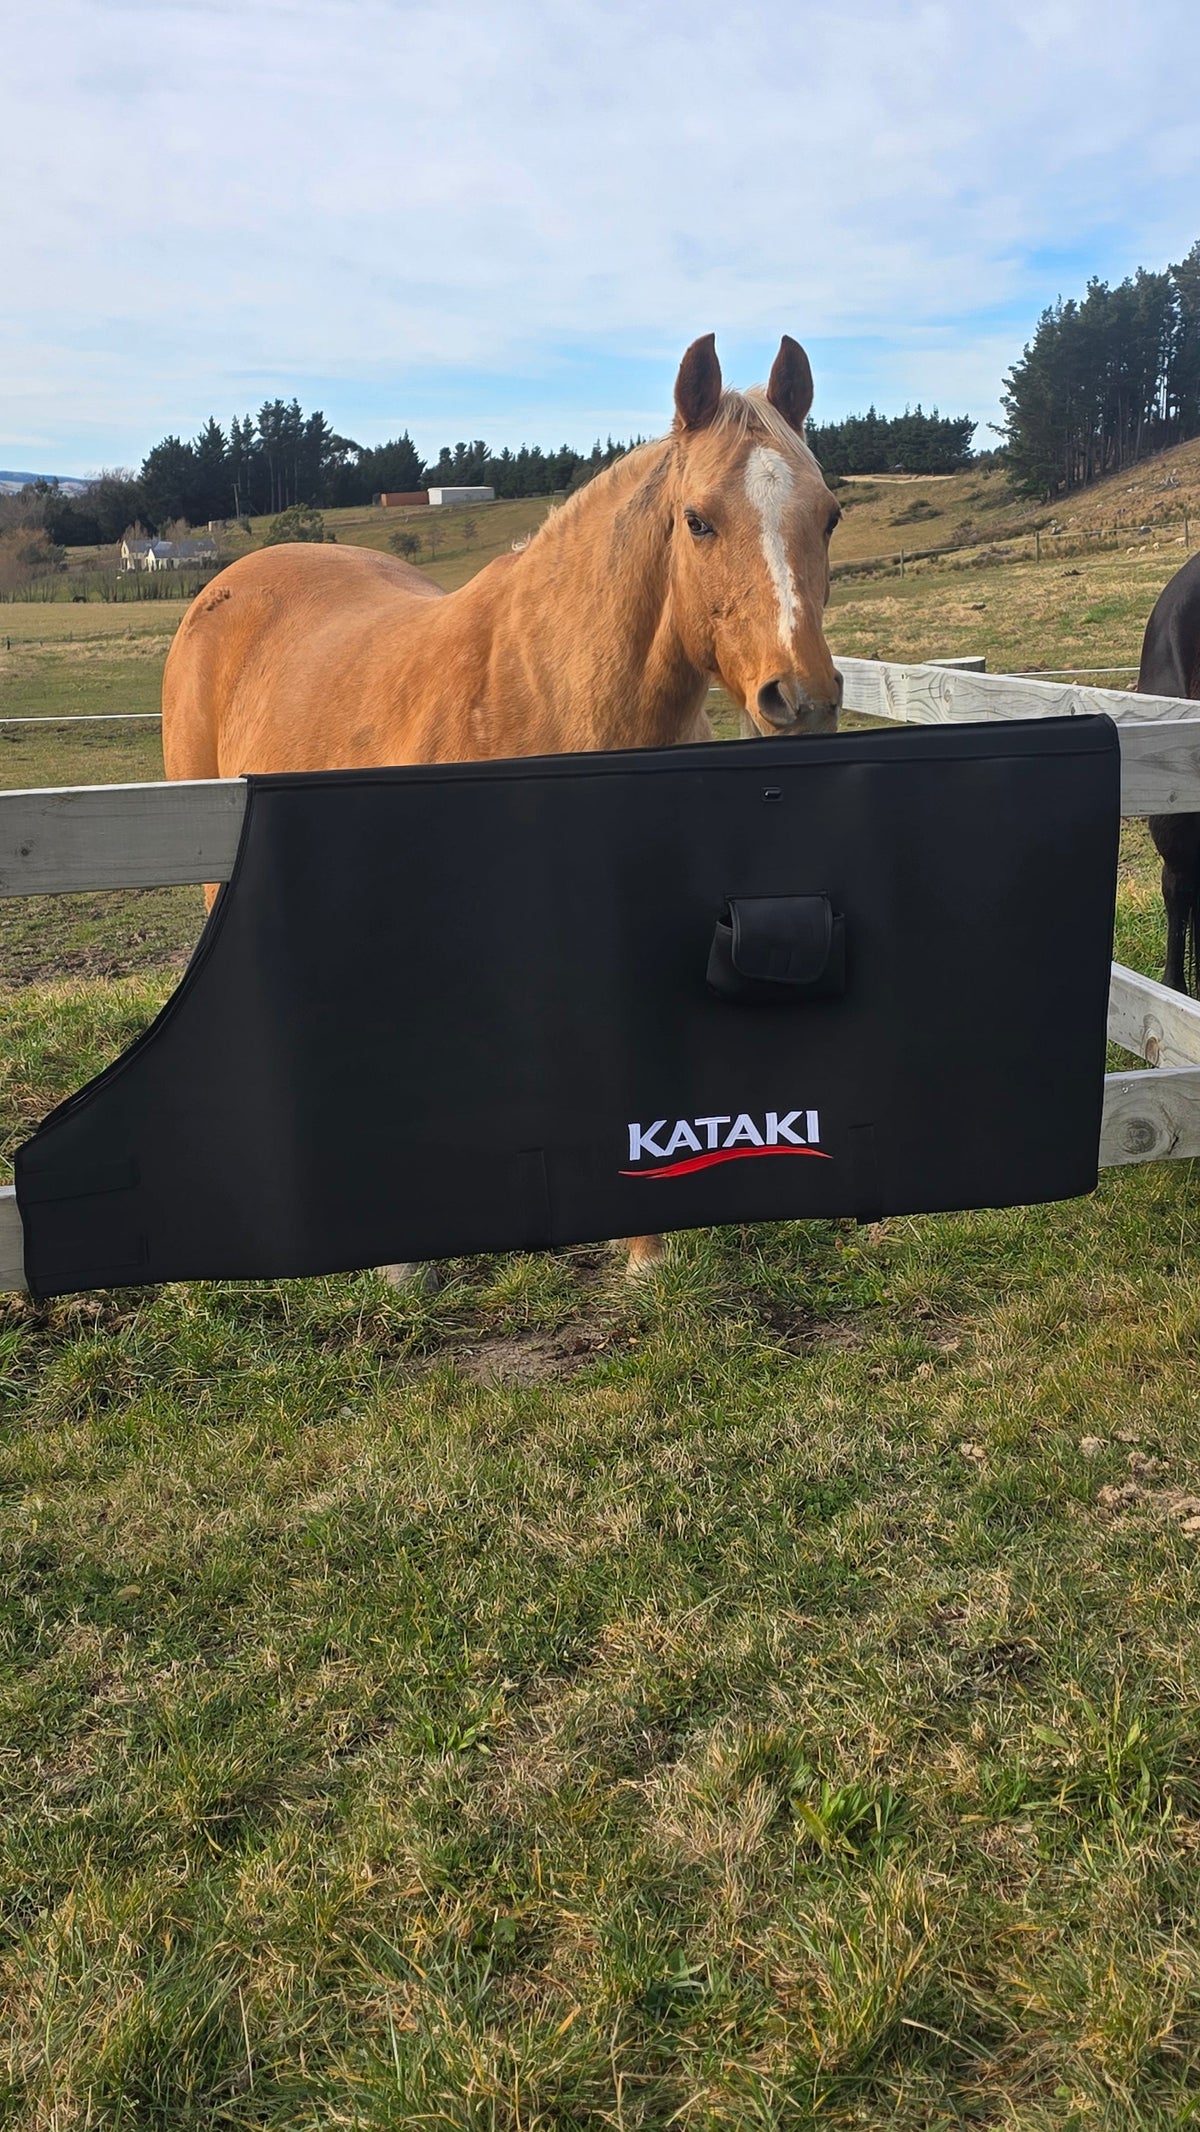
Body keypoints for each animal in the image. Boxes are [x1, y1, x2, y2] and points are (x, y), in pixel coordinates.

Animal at [162, 332, 844, 1280]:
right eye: (699, 520)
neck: (546, 695)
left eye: (829, 516)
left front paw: (646, 1255)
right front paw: (404, 1259)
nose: (802, 697)